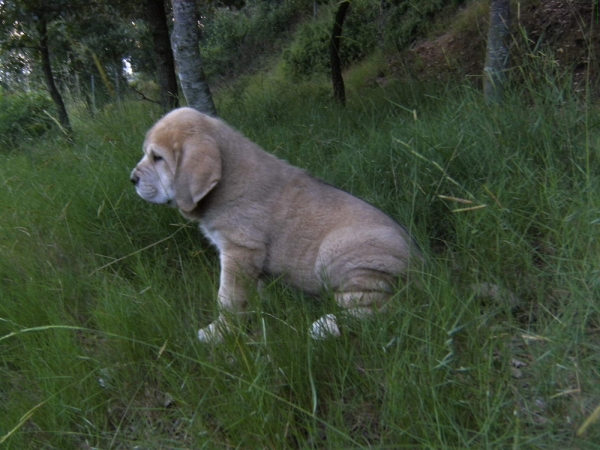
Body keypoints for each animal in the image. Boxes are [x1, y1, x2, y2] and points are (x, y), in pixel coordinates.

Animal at [130, 108, 422, 342]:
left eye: (157, 157)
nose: (132, 178)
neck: (227, 177)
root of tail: (424, 268)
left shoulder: (240, 249)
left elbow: (228, 297)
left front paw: (219, 331)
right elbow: (251, 289)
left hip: (338, 256)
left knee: (389, 307)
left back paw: (326, 325)